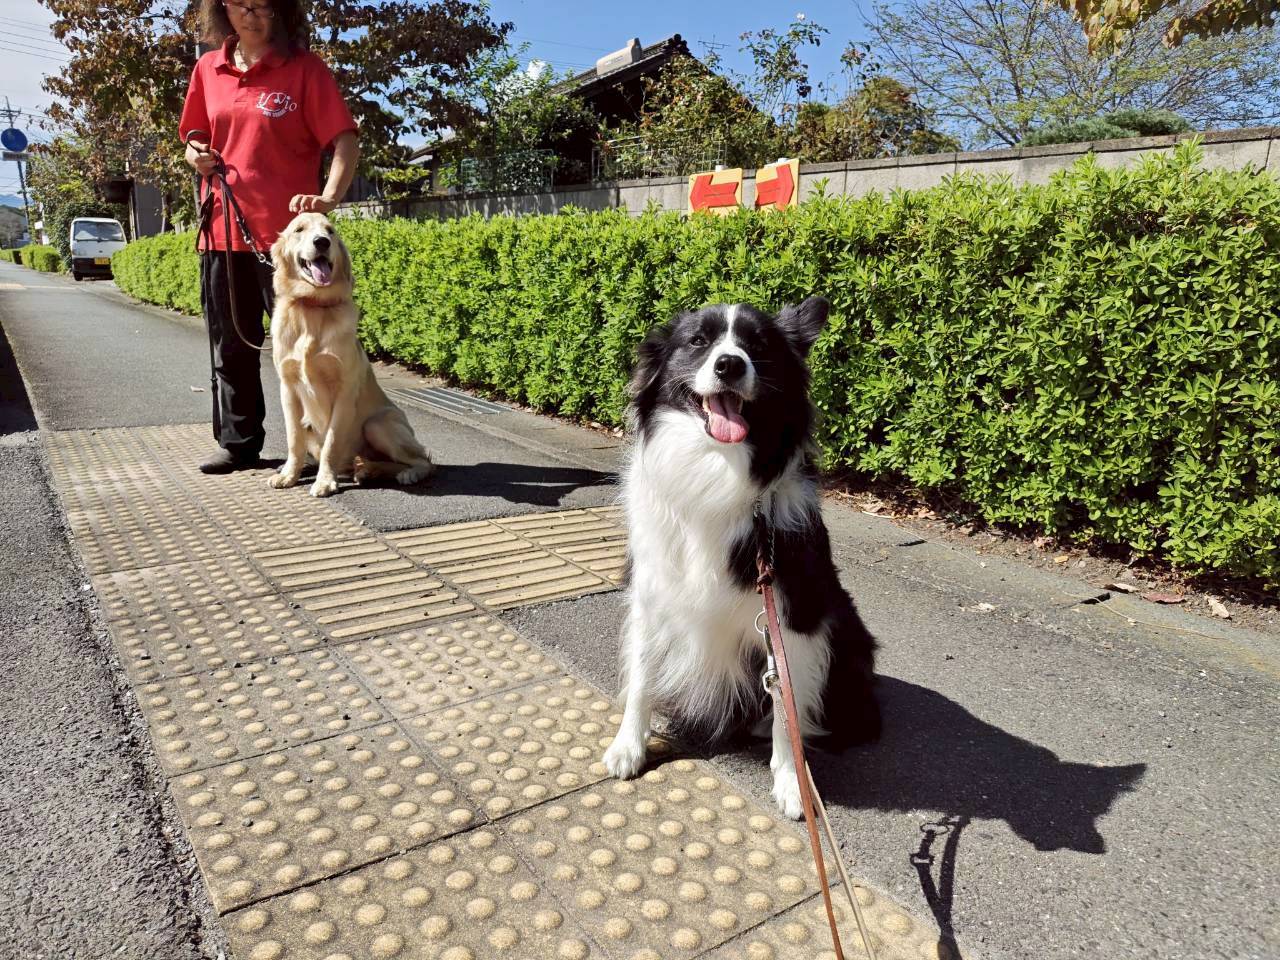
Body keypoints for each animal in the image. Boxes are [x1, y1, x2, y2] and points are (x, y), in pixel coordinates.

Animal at [266, 212, 434, 497]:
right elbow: (294, 438)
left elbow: (331, 443)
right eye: (299, 229)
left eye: (330, 231)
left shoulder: (343, 391)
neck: (313, 307)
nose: (322, 242)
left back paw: (404, 472)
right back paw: (367, 470)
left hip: (377, 423)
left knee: (425, 460)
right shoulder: (288, 388)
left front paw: (324, 481)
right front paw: (289, 475)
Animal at [602, 296, 880, 819]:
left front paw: (792, 783)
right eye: (698, 341)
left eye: (758, 345)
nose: (729, 364)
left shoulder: (796, 615)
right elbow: (642, 676)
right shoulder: (651, 593)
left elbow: (788, 712)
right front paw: (629, 745)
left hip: (846, 632)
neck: (717, 470)